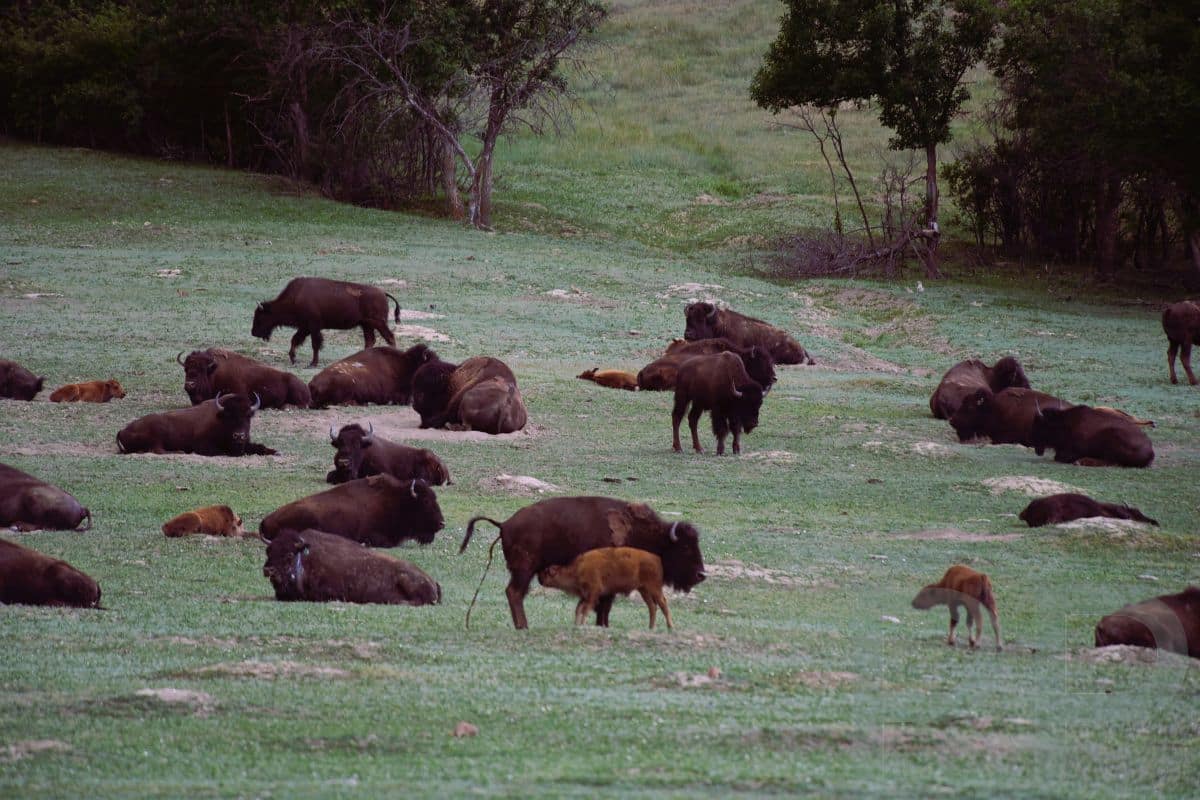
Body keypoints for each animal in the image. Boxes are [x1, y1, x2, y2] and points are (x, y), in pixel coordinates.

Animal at [116, 393, 276, 456]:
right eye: (229, 416)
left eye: (248, 416)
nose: (239, 435)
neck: (220, 419)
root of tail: (122, 430)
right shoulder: (203, 446)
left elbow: (258, 447)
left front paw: (274, 451)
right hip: (157, 435)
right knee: (158, 450)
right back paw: (180, 452)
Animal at [251, 276, 401, 366]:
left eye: (260, 317)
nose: (253, 332)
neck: (295, 298)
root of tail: (383, 293)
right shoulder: (305, 327)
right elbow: (295, 340)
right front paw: (293, 359)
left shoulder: (313, 327)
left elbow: (315, 344)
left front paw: (312, 363)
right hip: (366, 325)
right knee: (370, 340)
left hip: (378, 323)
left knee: (389, 337)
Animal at [263, 528, 442, 605]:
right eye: (268, 551)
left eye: (289, 554)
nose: (268, 570)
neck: (305, 559)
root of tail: (433, 581)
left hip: (406, 579)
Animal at [460, 496, 706, 629]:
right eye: (685, 547)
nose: (701, 575)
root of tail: (505, 524)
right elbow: (604, 606)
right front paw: (602, 626)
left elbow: (604, 607)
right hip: (524, 570)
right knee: (515, 593)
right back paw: (524, 626)